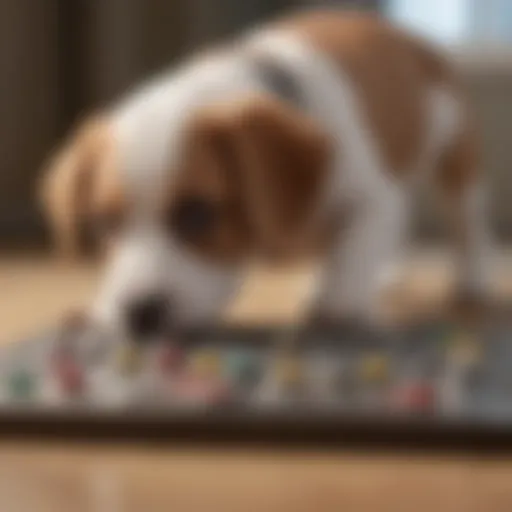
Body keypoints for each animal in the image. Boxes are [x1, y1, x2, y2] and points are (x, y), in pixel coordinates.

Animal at [41, 10, 492, 338]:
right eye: (104, 223)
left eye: (197, 213)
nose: (139, 314)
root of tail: (411, 40)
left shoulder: (374, 199)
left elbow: (353, 259)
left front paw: (339, 306)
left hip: (455, 155)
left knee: (465, 219)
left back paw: (472, 278)